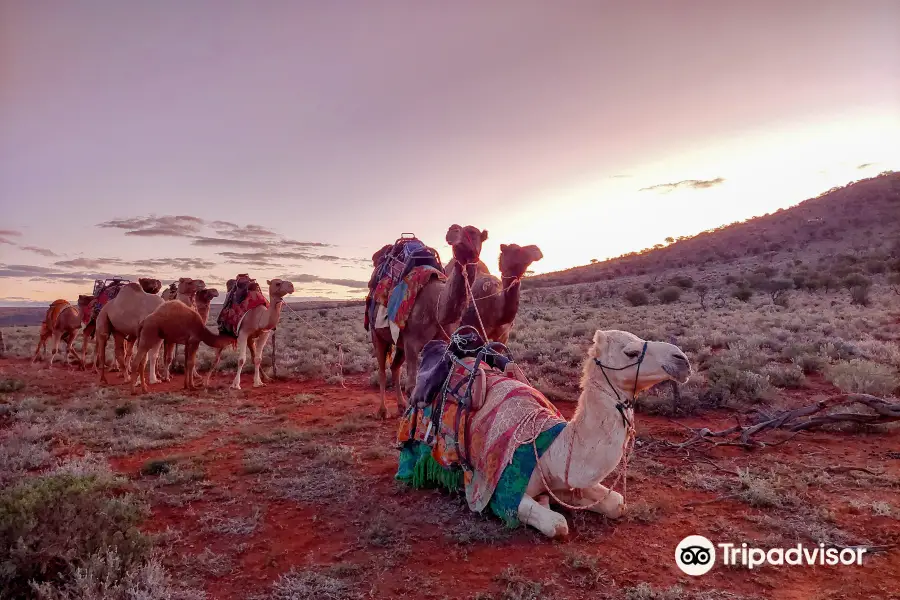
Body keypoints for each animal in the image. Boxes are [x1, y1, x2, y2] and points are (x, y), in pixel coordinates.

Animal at [370, 224, 488, 418]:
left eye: (473, 233)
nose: (453, 230)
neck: (437, 307)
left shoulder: (444, 339)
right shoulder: (412, 342)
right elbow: (412, 386)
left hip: (400, 343)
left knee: (394, 367)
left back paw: (401, 405)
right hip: (377, 333)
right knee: (381, 369)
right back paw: (382, 410)